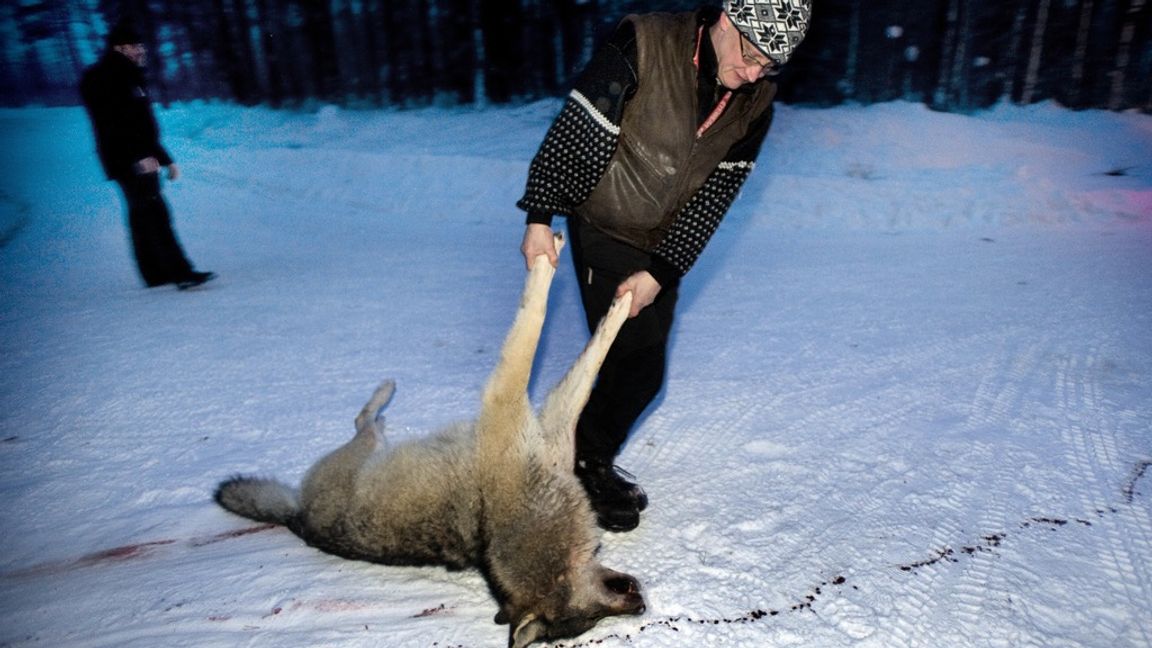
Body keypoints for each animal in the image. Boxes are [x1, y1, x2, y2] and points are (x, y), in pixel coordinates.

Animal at [213, 232, 645, 645]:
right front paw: (570, 271)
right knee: (362, 420)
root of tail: (298, 517)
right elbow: (539, 324)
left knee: (364, 423)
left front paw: (621, 300)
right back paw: (384, 394)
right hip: (361, 451)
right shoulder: (508, 402)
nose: (642, 604)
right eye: (594, 618)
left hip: (364, 453)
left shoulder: (547, 430)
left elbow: (587, 364)